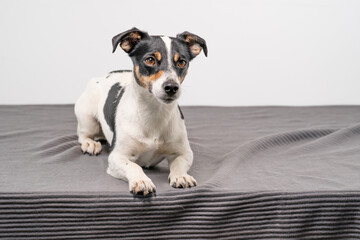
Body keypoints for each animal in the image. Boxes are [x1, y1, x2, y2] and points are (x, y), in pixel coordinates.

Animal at [74, 27, 207, 196]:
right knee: (83, 135)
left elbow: (179, 163)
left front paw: (181, 176)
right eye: (150, 60)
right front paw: (141, 180)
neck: (154, 112)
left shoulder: (184, 152)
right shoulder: (117, 157)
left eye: (182, 62)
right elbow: (133, 166)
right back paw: (90, 144)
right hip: (87, 117)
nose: (172, 87)